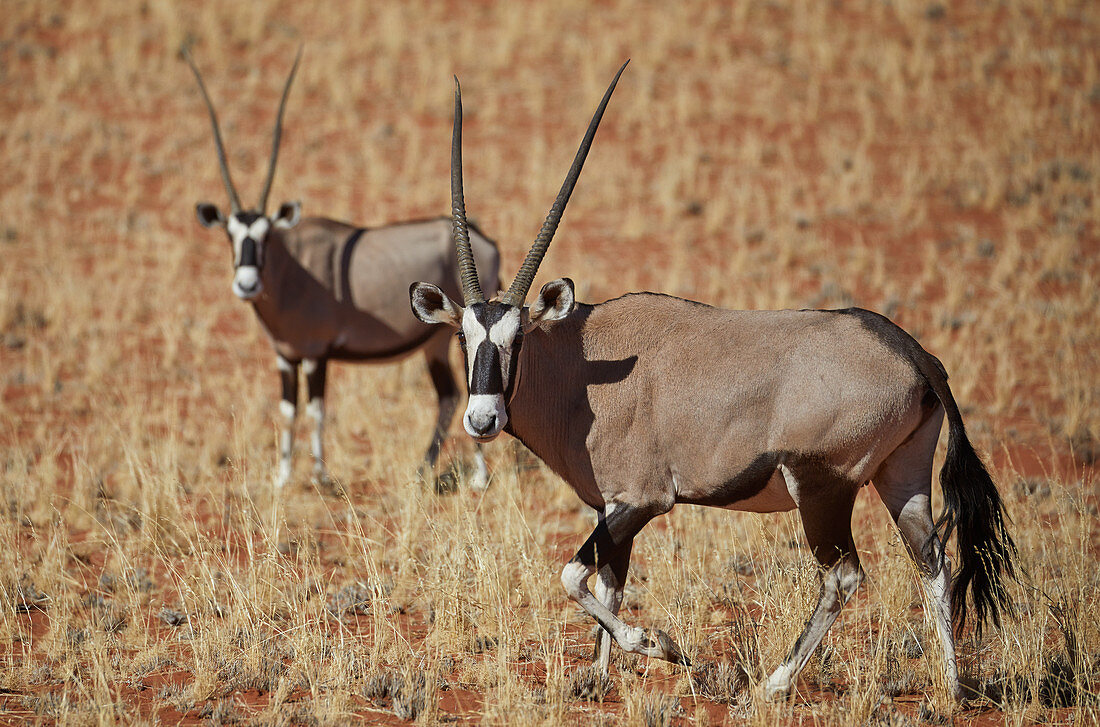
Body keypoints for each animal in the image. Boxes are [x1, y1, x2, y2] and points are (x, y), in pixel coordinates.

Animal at [187, 48, 501, 490]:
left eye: (266, 235)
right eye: (229, 234)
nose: (246, 284)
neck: (293, 271)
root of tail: (487, 241)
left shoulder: (317, 354)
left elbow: (317, 408)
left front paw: (319, 474)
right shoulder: (285, 357)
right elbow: (288, 410)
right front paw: (282, 476)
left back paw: (478, 476)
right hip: (436, 342)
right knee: (449, 396)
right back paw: (425, 468)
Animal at [411, 65, 1012, 699]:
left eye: (518, 339)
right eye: (465, 338)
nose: (483, 419)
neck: (582, 365)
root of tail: (913, 353)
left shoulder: (640, 500)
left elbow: (574, 577)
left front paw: (660, 645)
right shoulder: (611, 510)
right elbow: (607, 584)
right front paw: (598, 676)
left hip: (823, 485)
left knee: (843, 576)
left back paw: (775, 683)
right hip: (902, 474)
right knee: (932, 559)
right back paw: (952, 686)